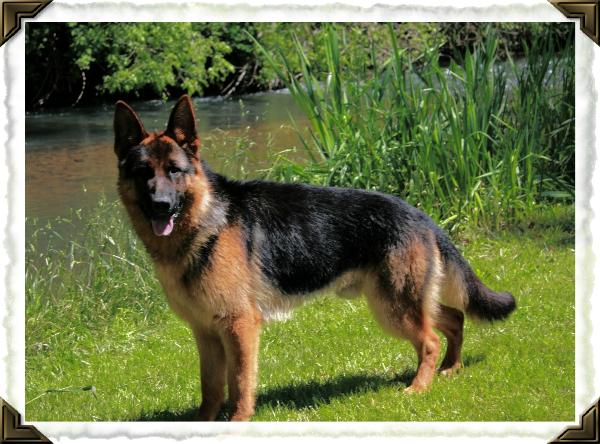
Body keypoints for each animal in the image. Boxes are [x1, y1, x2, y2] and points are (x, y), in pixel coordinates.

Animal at [113, 95, 516, 422]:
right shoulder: (206, 332)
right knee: (454, 318)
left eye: (174, 171)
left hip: (393, 307)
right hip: (398, 300)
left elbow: (240, 382)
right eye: (143, 173)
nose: (160, 205)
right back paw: (451, 368)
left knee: (430, 339)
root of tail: (420, 215)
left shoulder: (239, 327)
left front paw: (238, 423)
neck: (204, 220)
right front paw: (203, 425)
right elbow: (210, 388)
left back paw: (419, 387)